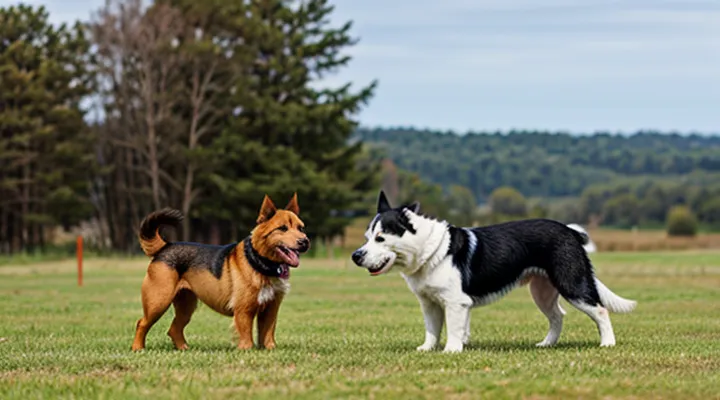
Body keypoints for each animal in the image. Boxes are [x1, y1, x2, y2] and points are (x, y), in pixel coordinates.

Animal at [131, 193, 308, 350]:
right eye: (283, 228)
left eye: (301, 228)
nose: (305, 241)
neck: (262, 262)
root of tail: (165, 247)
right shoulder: (244, 310)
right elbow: (246, 334)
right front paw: (247, 350)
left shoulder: (271, 308)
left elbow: (268, 332)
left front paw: (270, 349)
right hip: (158, 301)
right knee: (142, 323)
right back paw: (138, 348)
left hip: (185, 305)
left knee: (174, 329)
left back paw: (183, 349)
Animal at [348, 192, 636, 352]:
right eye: (366, 238)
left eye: (381, 238)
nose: (356, 256)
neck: (429, 251)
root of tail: (571, 231)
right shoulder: (429, 304)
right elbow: (432, 330)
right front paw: (427, 350)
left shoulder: (455, 303)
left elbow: (453, 329)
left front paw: (452, 351)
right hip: (542, 291)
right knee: (558, 316)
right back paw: (546, 345)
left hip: (571, 283)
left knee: (600, 310)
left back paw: (607, 344)